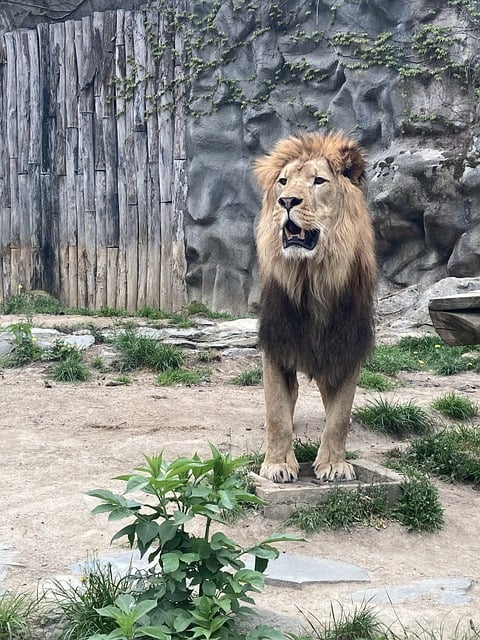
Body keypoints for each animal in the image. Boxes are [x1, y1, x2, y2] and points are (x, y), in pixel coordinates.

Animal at [253, 132, 376, 482]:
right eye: (283, 182)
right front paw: (277, 465)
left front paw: (334, 464)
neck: (312, 279)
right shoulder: (277, 343)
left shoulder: (347, 347)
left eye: (319, 181)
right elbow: (278, 412)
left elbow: (340, 417)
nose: (287, 202)